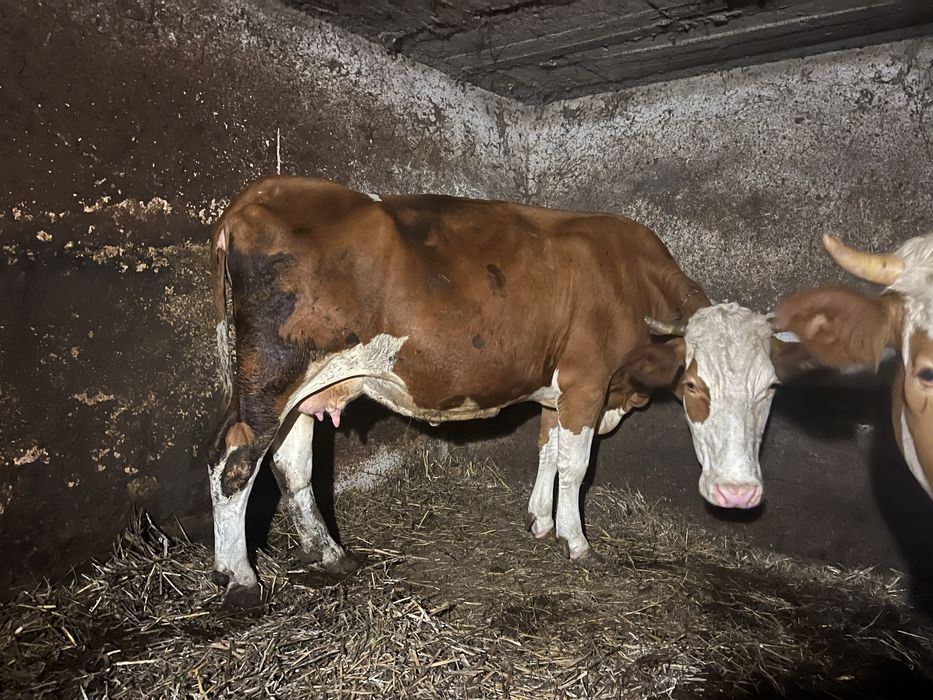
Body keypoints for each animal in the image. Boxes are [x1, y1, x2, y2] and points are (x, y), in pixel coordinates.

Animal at [207, 176, 803, 606]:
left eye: (771, 388)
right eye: (695, 383)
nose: (737, 494)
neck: (627, 279)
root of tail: (258, 194)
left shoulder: (558, 388)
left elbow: (548, 449)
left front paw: (540, 520)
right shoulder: (587, 380)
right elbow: (576, 465)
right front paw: (575, 540)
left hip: (305, 389)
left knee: (292, 464)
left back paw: (329, 554)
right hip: (270, 378)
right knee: (233, 460)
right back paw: (239, 578)